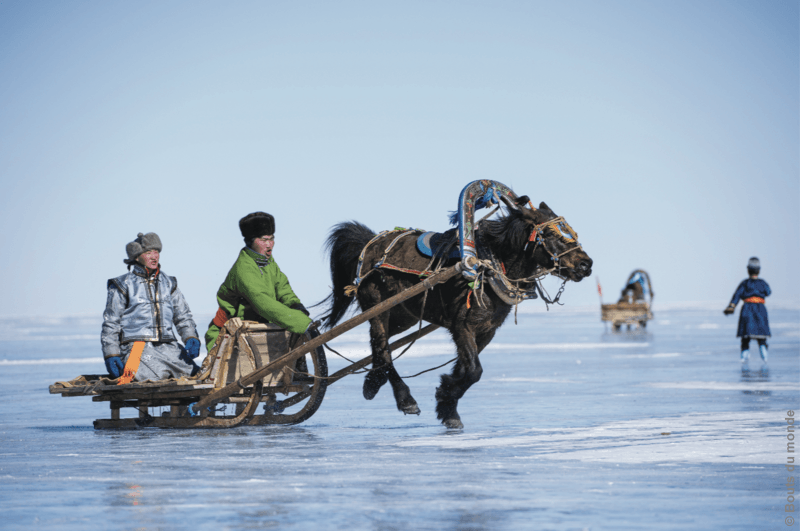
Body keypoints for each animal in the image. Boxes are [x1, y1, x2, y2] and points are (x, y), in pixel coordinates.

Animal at [322, 190, 592, 428]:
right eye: (550, 233)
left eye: (571, 232)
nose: (586, 264)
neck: (489, 265)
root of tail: (369, 244)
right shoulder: (462, 325)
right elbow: (474, 370)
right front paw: (446, 401)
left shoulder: (487, 329)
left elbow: (464, 369)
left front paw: (446, 401)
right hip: (378, 306)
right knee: (382, 347)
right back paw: (404, 398)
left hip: (403, 315)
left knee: (379, 345)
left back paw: (372, 382)